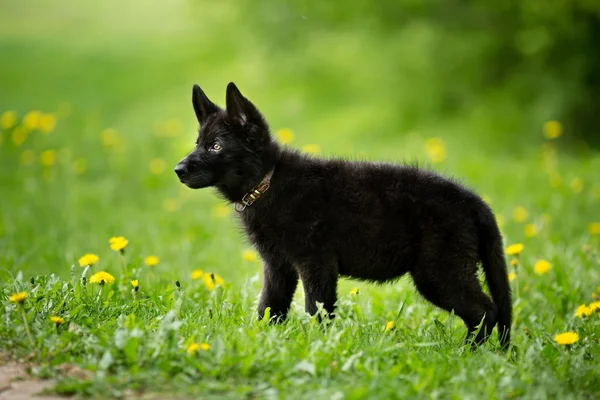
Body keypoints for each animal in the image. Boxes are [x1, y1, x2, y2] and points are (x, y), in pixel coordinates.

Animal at [176, 82, 512, 346]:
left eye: (216, 147)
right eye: (198, 144)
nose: (178, 170)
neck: (268, 182)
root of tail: (474, 201)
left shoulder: (317, 264)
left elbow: (316, 311)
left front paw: (319, 346)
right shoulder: (278, 267)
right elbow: (269, 309)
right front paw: (259, 342)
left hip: (439, 272)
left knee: (486, 311)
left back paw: (467, 353)